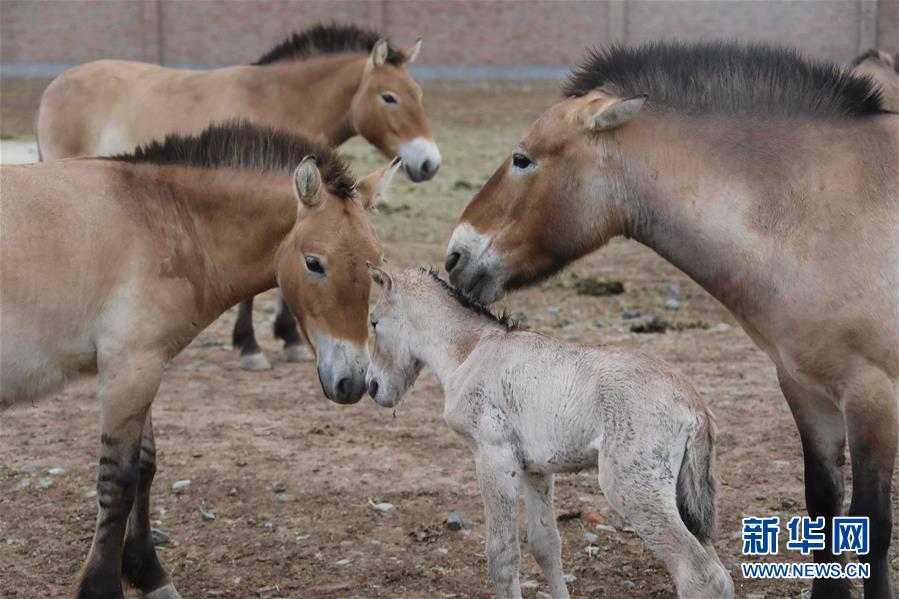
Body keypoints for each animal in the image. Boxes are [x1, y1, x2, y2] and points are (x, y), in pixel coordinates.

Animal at [0, 122, 398, 599]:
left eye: (376, 264)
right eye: (314, 263)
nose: (352, 383)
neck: (160, 221)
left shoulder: (144, 367)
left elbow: (145, 467)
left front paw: (148, 572)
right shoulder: (128, 370)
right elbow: (119, 480)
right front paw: (103, 586)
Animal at [36, 23, 441, 371]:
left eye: (419, 95)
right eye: (389, 97)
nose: (429, 163)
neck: (279, 102)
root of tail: (55, 86)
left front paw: (289, 339)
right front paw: (250, 347)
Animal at [364, 266, 732, 599]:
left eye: (373, 322)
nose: (371, 387)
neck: (471, 351)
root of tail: (694, 404)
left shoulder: (493, 457)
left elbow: (502, 555)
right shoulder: (535, 469)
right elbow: (546, 546)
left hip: (634, 489)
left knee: (701, 576)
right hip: (683, 497)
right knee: (721, 575)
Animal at [445, 42, 897, 599]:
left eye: (522, 158)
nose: (455, 256)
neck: (825, 212)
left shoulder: (873, 397)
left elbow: (873, 525)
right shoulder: (808, 392)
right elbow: (825, 510)